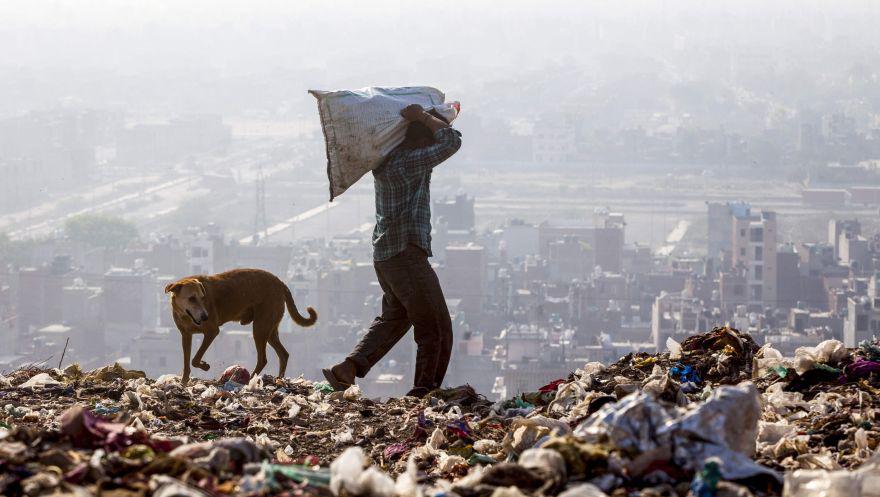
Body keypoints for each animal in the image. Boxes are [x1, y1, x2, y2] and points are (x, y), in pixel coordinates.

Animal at [165, 268, 316, 384]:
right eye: (191, 298)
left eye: (202, 298)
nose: (205, 317)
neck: (185, 315)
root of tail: (280, 283)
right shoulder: (186, 335)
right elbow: (187, 362)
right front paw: (184, 382)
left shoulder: (212, 331)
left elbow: (195, 359)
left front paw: (205, 366)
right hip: (270, 329)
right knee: (283, 354)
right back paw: (279, 379)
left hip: (260, 327)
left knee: (263, 359)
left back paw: (250, 379)